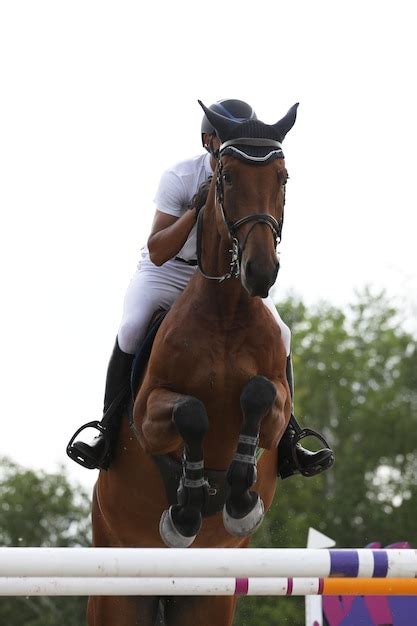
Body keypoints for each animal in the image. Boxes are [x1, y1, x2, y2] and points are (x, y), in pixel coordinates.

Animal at [88, 102, 298, 624]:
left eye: (282, 178)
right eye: (225, 178)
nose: (260, 272)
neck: (226, 311)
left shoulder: (276, 410)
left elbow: (258, 396)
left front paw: (239, 499)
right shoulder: (148, 416)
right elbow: (191, 412)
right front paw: (186, 509)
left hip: (207, 597)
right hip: (115, 591)